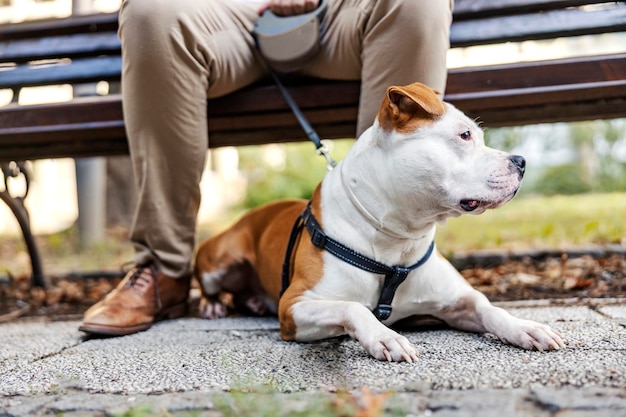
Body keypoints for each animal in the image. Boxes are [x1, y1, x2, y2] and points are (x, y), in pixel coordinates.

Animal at [193, 82, 564, 360]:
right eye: (464, 136)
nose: (521, 161)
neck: (397, 240)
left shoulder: (459, 300)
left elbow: (490, 308)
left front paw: (526, 327)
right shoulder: (295, 306)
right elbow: (353, 308)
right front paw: (385, 337)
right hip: (219, 259)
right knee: (208, 283)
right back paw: (212, 306)